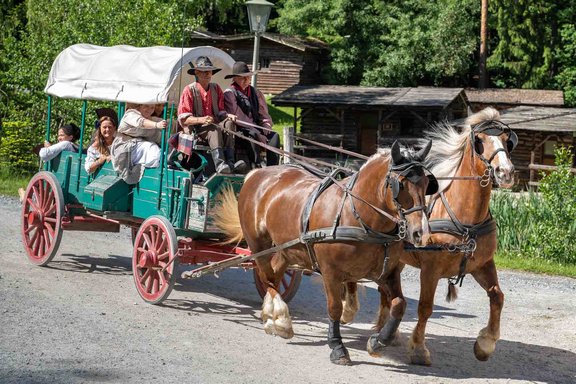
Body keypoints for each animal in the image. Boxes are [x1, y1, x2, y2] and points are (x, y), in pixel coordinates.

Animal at [216, 141, 436, 366]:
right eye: (400, 184)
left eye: (428, 183)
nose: (420, 232)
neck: (357, 216)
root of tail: (256, 173)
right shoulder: (331, 272)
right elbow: (334, 308)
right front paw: (337, 347)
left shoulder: (386, 272)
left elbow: (399, 305)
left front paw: (378, 341)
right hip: (259, 245)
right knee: (266, 276)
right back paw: (281, 319)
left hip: (287, 249)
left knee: (275, 276)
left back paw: (273, 319)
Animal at [342, 106, 516, 364]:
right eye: (481, 140)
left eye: (507, 139)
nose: (505, 172)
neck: (465, 218)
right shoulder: (431, 269)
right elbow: (425, 307)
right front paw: (418, 348)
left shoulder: (482, 263)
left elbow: (497, 296)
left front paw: (486, 344)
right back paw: (350, 309)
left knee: (384, 290)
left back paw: (385, 330)